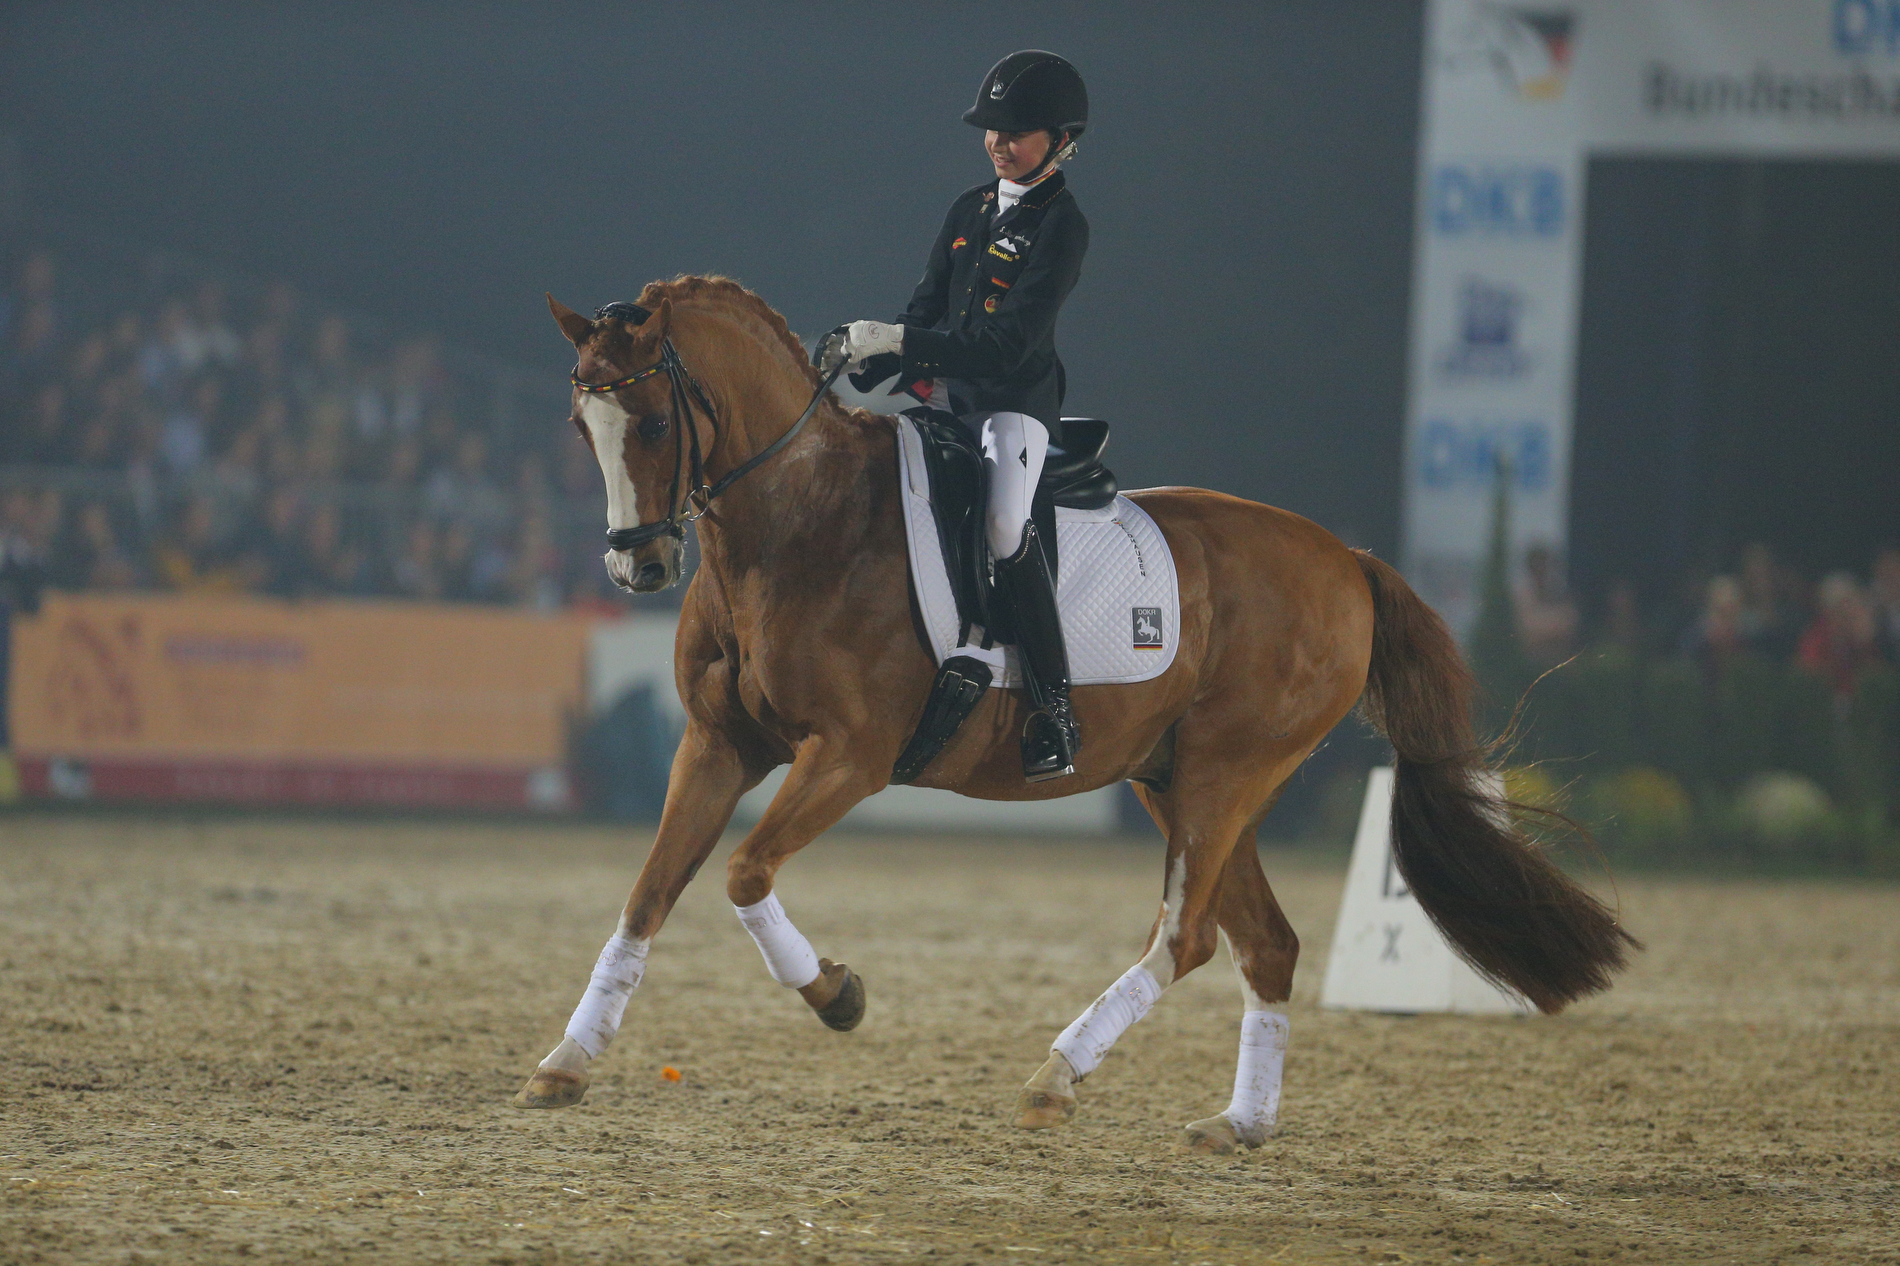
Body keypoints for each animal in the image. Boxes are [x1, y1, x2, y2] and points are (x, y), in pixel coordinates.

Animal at [520, 281, 1634, 1148]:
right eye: (581, 429)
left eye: (652, 423)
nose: (637, 567)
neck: (801, 523)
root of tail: (1347, 560)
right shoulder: (717, 746)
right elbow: (648, 894)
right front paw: (567, 1059)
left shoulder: (849, 756)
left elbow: (746, 875)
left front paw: (837, 995)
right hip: (1178, 781)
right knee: (1263, 945)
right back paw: (1240, 1125)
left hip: (1227, 774)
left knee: (1186, 936)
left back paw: (1055, 1075)